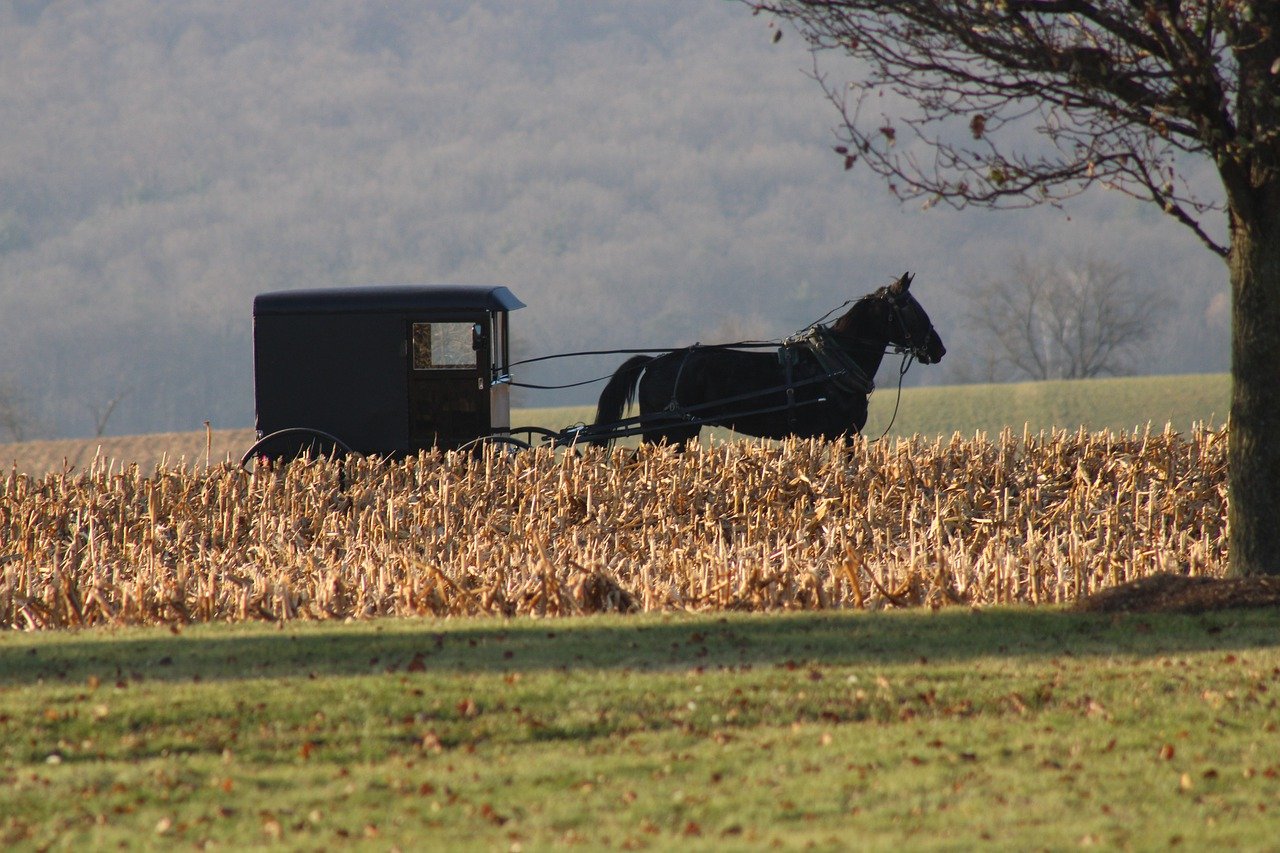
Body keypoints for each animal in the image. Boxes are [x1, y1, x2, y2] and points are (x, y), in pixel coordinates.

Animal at [586, 272, 942, 445]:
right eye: (911, 307)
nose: (938, 348)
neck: (833, 364)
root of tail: (653, 362)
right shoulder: (843, 435)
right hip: (665, 433)